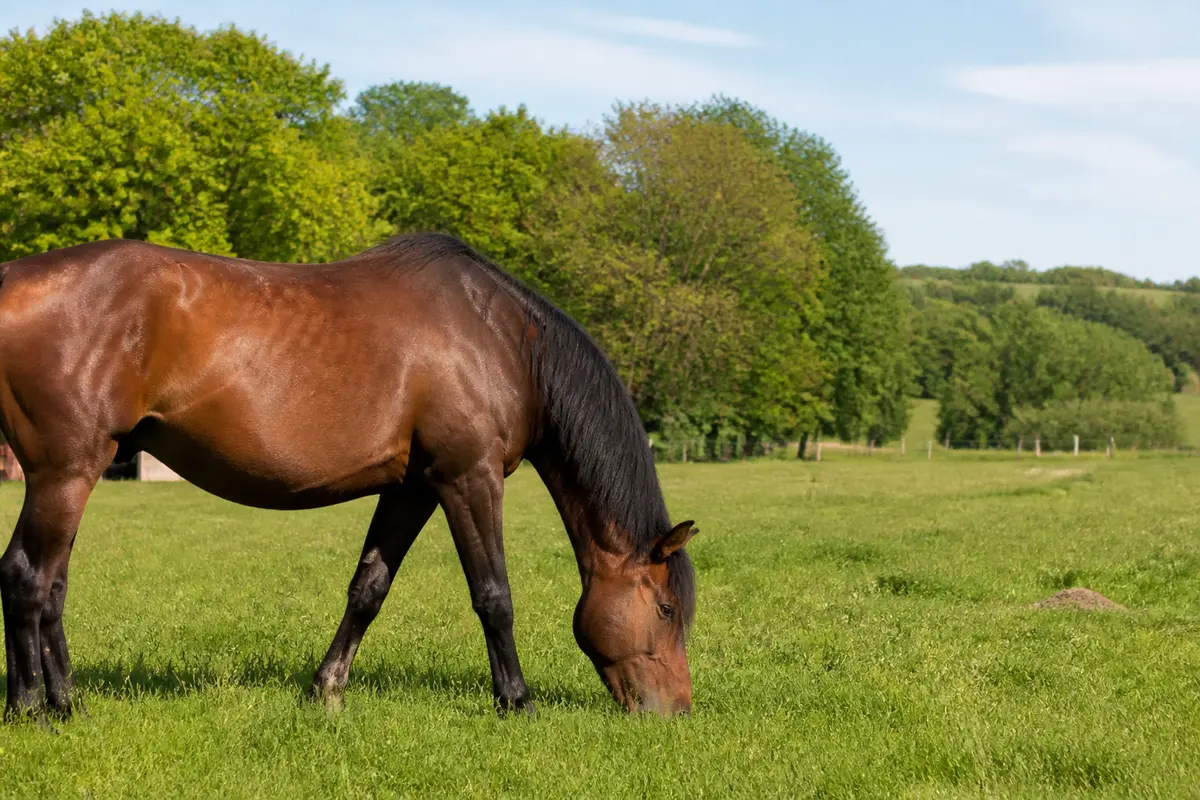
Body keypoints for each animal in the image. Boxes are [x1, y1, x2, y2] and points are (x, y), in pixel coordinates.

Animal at [0, 233, 698, 721]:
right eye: (665, 607)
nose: (677, 712)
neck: (499, 337)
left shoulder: (412, 489)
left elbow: (368, 590)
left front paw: (327, 691)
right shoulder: (469, 479)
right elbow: (493, 596)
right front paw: (516, 701)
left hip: (73, 475)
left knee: (49, 584)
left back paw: (64, 701)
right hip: (65, 473)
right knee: (28, 578)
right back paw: (34, 709)